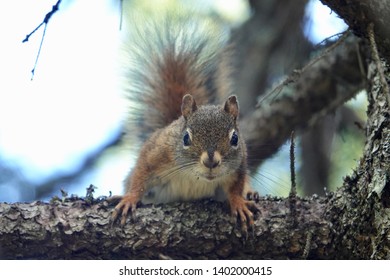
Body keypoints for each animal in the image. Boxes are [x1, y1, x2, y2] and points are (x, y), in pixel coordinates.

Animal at [112, 18, 256, 232]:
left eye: (235, 139)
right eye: (186, 138)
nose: (211, 162)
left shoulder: (239, 164)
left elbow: (236, 186)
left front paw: (238, 203)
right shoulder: (157, 152)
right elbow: (140, 174)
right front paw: (129, 198)